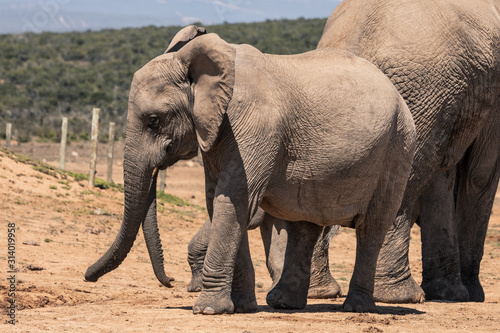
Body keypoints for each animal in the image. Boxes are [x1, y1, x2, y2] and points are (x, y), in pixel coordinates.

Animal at [316, 0, 500, 300]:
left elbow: (445, 174)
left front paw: (448, 293)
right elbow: (479, 174)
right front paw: (470, 294)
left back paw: (320, 292)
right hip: (421, 87)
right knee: (408, 177)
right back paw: (400, 295)